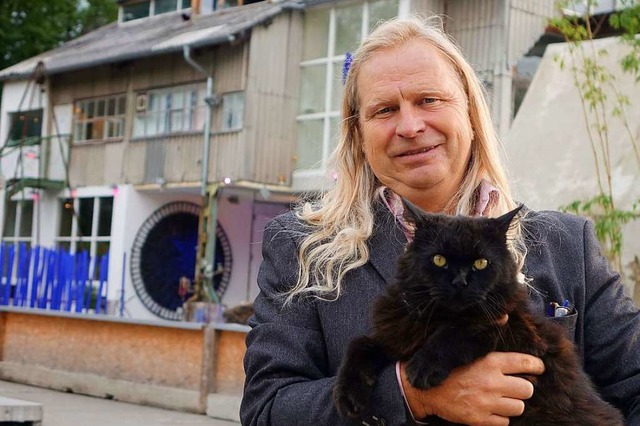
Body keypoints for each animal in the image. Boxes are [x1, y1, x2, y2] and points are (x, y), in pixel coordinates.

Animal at [332, 203, 624, 426]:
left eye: (481, 263)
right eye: (439, 259)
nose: (460, 282)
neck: (436, 318)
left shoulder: (515, 330)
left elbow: (465, 328)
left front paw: (423, 366)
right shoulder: (396, 335)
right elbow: (358, 345)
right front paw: (349, 398)